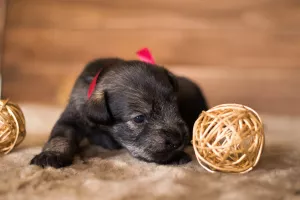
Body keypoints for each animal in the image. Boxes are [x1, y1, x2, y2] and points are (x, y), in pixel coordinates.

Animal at [31, 58, 209, 168]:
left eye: (175, 106)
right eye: (139, 118)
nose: (178, 141)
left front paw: (176, 155)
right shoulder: (72, 118)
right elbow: (60, 136)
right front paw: (51, 154)